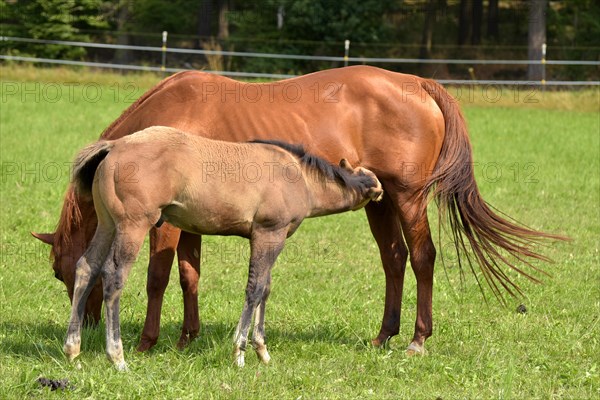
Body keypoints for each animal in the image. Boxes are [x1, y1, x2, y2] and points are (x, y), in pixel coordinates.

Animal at [65, 125, 382, 368]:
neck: (299, 177)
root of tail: (115, 146)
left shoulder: (271, 238)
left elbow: (265, 289)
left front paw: (262, 351)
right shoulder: (269, 234)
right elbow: (254, 288)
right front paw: (239, 352)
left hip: (107, 225)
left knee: (86, 268)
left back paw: (73, 350)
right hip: (133, 226)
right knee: (113, 276)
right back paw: (117, 357)